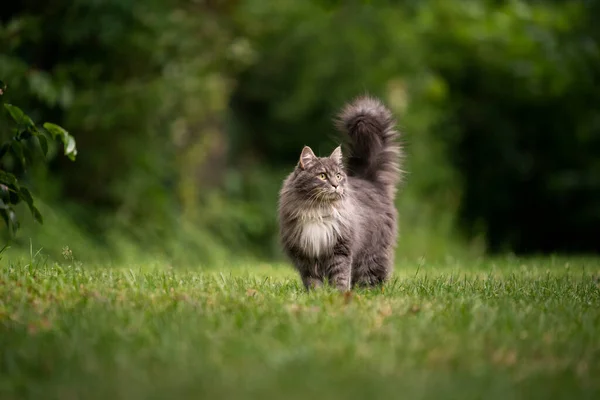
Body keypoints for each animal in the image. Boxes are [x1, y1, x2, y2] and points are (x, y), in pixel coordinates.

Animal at [278, 96, 404, 290]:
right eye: (322, 176)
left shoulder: (340, 248)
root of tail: (369, 180)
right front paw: (316, 294)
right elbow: (312, 279)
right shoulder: (305, 253)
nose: (336, 185)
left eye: (338, 175)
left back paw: (369, 290)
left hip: (373, 252)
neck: (318, 210)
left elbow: (341, 275)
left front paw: (340, 293)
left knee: (372, 274)